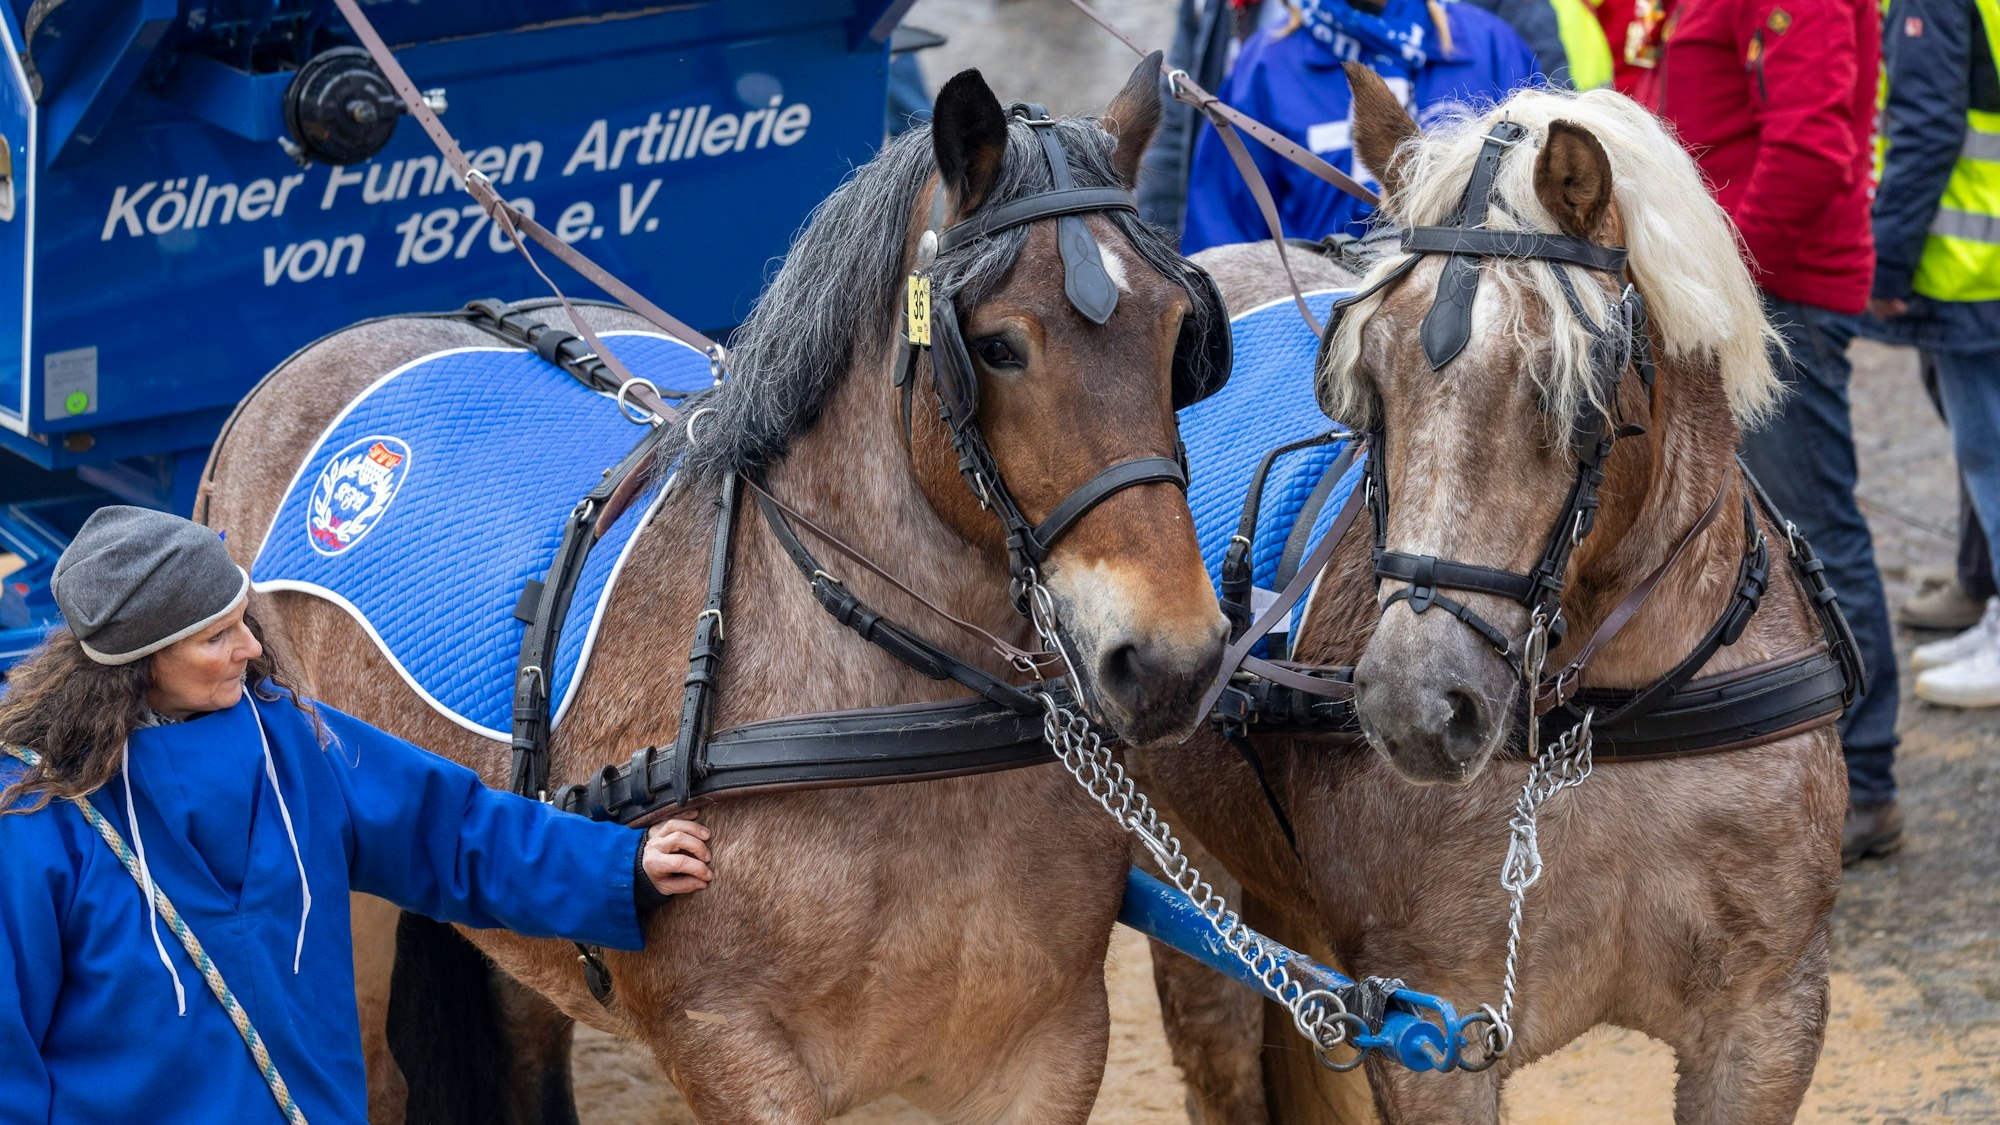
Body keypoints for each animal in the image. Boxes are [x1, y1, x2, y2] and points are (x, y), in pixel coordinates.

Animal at [200, 60, 1231, 1124]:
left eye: (1178, 335)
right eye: (996, 346)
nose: (1171, 657)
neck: (895, 735)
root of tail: (304, 362)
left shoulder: (1048, 1048)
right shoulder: (732, 1049)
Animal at [1138, 70, 1847, 1125]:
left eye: (1567, 390)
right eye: (1368, 380)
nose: (1415, 702)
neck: (1607, 721)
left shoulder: (1767, 1016)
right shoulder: (1426, 1024)